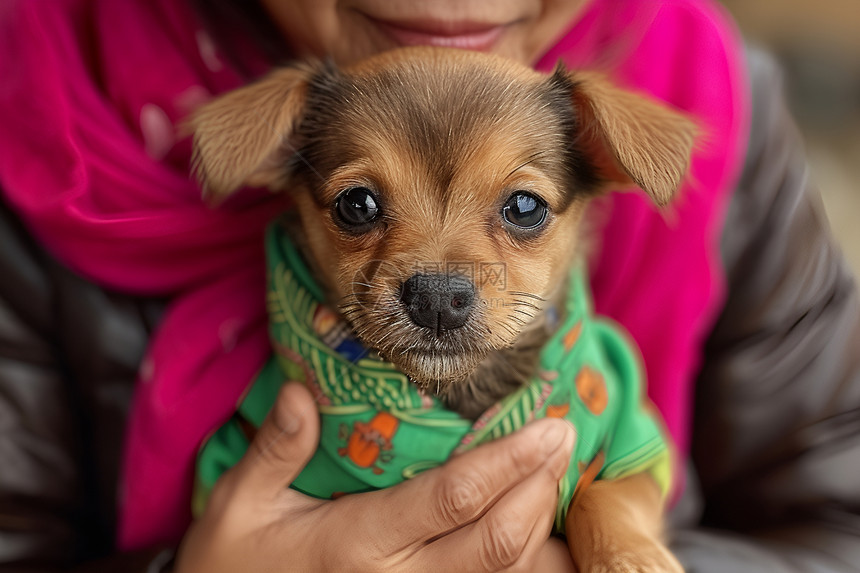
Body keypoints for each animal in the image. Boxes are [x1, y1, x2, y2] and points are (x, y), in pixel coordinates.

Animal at [188, 47, 692, 568]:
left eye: (525, 207)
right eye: (357, 204)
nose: (436, 299)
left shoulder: (635, 444)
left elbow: (606, 491)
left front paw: (630, 558)